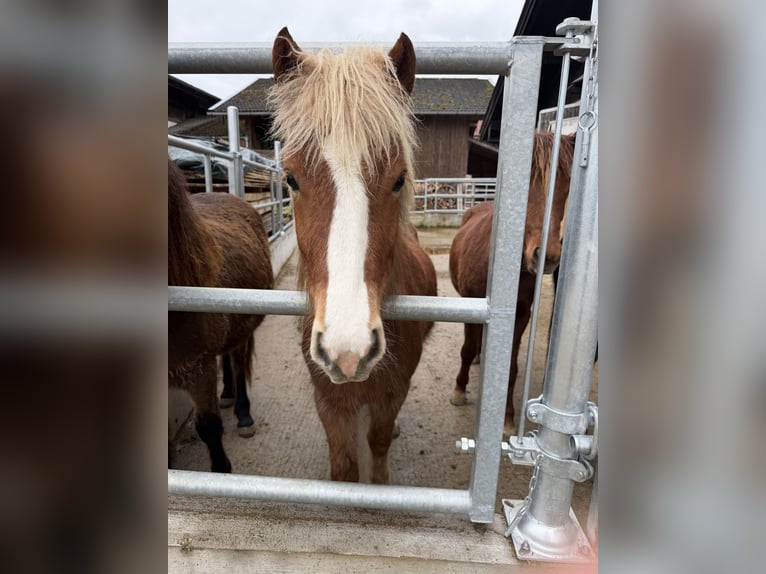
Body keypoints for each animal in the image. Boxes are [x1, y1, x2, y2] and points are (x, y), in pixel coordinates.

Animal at [168, 159, 274, 472]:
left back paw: (243, 414)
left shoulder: (198, 369)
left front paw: (221, 469)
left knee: (237, 362)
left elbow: (209, 426)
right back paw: (226, 393)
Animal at [269, 28, 437, 484]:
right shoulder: (328, 400)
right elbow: (343, 468)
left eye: (399, 179)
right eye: (291, 178)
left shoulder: (392, 394)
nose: (348, 352)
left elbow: (377, 447)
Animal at [449, 132, 575, 435]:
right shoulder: (470, 302)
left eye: (566, 187)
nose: (547, 256)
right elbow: (466, 349)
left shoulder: (520, 314)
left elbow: (510, 368)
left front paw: (506, 418)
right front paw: (459, 391)